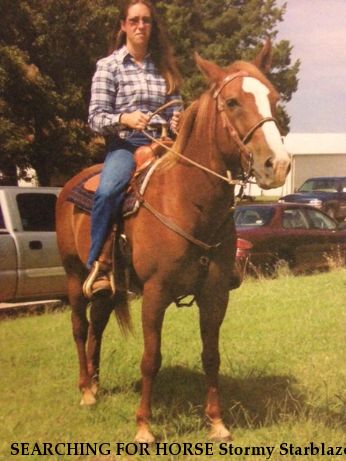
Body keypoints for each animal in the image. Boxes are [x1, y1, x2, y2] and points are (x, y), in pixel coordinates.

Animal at [55, 40, 290, 442]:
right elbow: (151, 359)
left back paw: (97, 385)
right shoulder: (155, 293)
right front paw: (144, 427)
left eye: (273, 98)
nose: (278, 165)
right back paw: (85, 390)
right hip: (74, 275)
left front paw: (217, 422)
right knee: (79, 327)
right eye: (232, 102)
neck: (188, 202)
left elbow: (211, 356)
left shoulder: (215, 294)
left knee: (97, 324)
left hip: (109, 287)